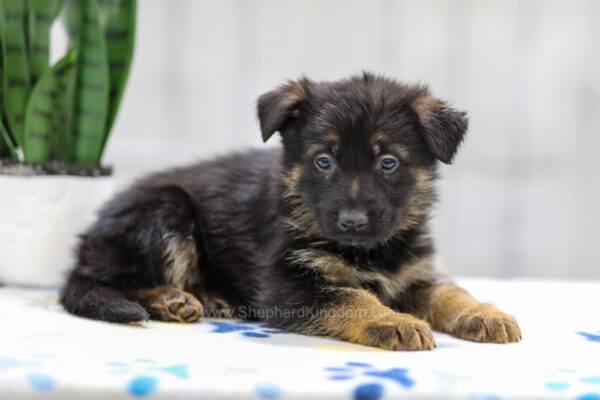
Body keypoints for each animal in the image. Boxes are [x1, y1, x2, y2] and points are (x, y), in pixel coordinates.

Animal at [61, 72, 520, 350]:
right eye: (324, 161)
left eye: (388, 162)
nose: (352, 222)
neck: (371, 250)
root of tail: (88, 245)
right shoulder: (289, 284)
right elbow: (352, 296)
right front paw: (394, 321)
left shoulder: (416, 272)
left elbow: (449, 292)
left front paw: (484, 313)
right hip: (164, 210)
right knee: (114, 280)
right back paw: (171, 298)